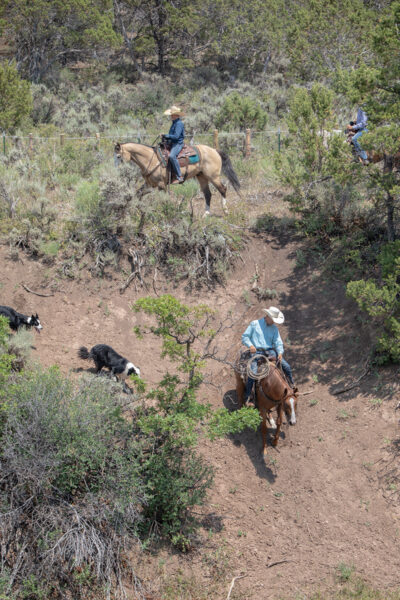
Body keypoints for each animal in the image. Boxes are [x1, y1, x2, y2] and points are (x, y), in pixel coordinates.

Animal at [114, 141, 242, 216]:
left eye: (119, 156)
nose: (117, 170)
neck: (151, 159)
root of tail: (214, 150)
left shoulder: (161, 185)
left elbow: (164, 200)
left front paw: (165, 212)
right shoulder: (149, 184)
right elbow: (137, 194)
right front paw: (134, 209)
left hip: (213, 176)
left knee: (222, 189)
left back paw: (225, 210)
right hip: (202, 177)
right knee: (208, 194)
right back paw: (206, 213)